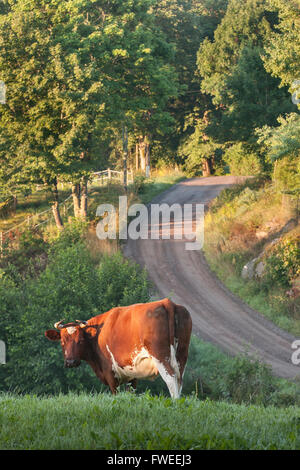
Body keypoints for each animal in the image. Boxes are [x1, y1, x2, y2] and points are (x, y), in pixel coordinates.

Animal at [45, 300, 193, 398]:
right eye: (62, 342)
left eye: (80, 340)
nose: (70, 362)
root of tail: (167, 302)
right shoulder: (132, 374)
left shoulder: (110, 372)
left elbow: (115, 394)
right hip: (182, 356)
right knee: (179, 380)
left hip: (161, 356)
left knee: (171, 379)